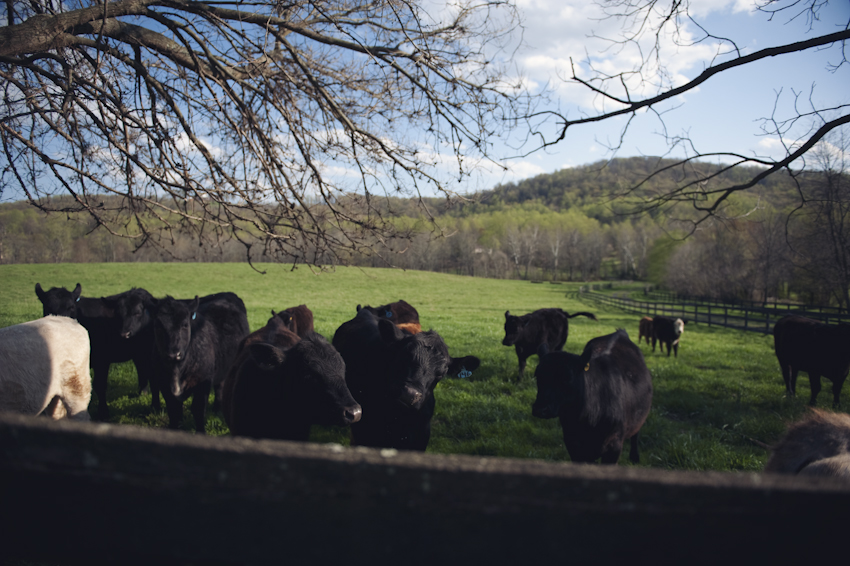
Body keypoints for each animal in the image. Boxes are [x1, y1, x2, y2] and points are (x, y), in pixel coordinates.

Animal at [34, 284, 154, 422]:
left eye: (71, 307)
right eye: (47, 307)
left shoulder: (102, 361)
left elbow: (99, 385)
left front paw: (103, 413)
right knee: (141, 369)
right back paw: (142, 392)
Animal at [148, 296, 248, 432]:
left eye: (185, 325)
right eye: (157, 325)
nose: (173, 354)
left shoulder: (203, 382)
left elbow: (198, 409)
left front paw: (201, 431)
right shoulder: (163, 384)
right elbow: (174, 411)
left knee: (219, 388)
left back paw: (217, 408)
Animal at [528, 328, 656, 466]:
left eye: (568, 377)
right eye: (537, 375)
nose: (540, 409)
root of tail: (620, 332)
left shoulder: (614, 446)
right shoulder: (572, 444)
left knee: (636, 433)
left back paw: (634, 457)